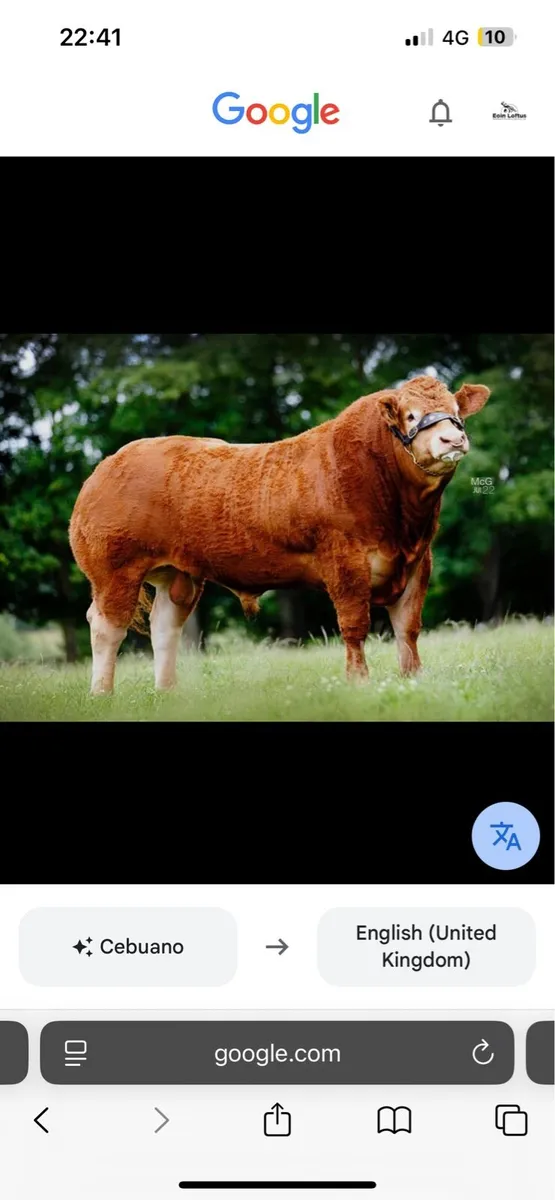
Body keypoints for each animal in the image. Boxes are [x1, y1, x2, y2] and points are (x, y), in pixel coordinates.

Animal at [69, 375, 490, 695]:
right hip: (115, 570)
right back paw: (102, 693)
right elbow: (355, 627)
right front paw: (358, 682)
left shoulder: (419, 562)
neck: (403, 523)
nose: (452, 440)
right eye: (411, 414)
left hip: (179, 574)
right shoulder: (345, 562)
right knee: (107, 627)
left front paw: (412, 678)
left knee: (164, 625)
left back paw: (168, 691)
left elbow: (409, 628)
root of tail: (107, 465)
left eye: (456, 413)